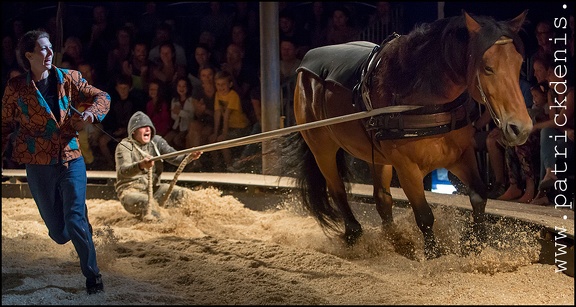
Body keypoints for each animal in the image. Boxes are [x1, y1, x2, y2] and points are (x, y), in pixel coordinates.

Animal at [286, 10, 532, 260]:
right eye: (488, 68)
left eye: (519, 64)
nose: (520, 128)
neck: (423, 97)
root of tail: (305, 65)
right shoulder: (407, 168)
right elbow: (424, 216)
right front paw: (434, 255)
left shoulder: (460, 156)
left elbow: (479, 196)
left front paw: (474, 244)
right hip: (322, 149)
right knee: (337, 191)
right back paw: (354, 233)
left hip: (377, 156)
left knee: (382, 198)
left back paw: (396, 241)